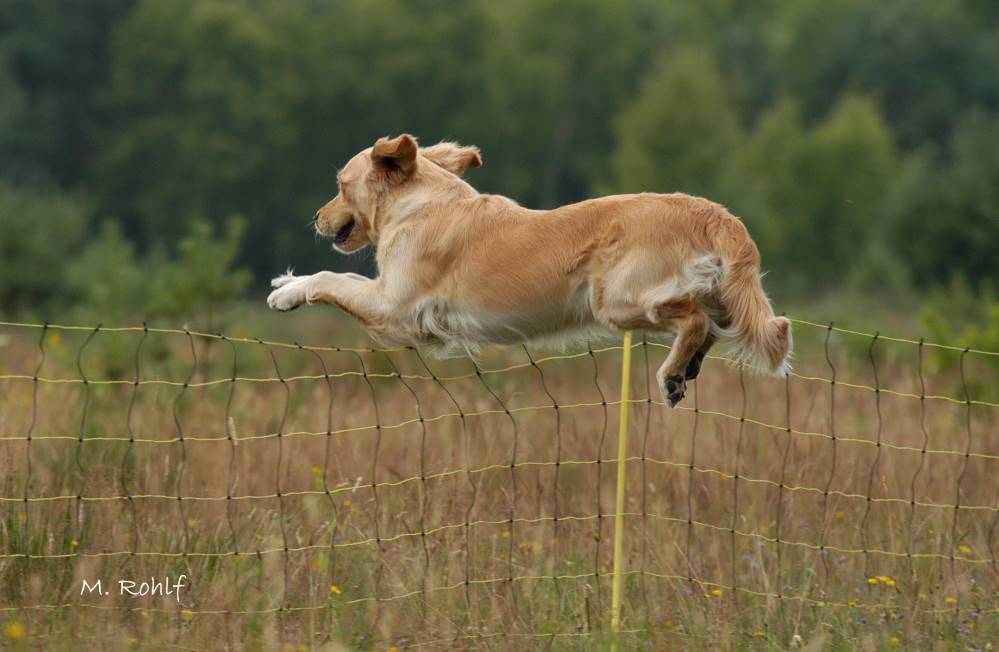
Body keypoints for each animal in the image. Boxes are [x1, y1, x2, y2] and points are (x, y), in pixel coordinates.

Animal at [268, 134, 791, 406]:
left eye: (341, 184)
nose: (316, 216)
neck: (420, 205)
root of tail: (712, 212)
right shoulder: (389, 298)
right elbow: (338, 278)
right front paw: (288, 281)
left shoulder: (397, 310)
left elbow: (333, 279)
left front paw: (287, 293)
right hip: (710, 293)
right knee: (716, 324)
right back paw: (687, 369)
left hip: (618, 300)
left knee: (696, 320)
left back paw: (672, 375)